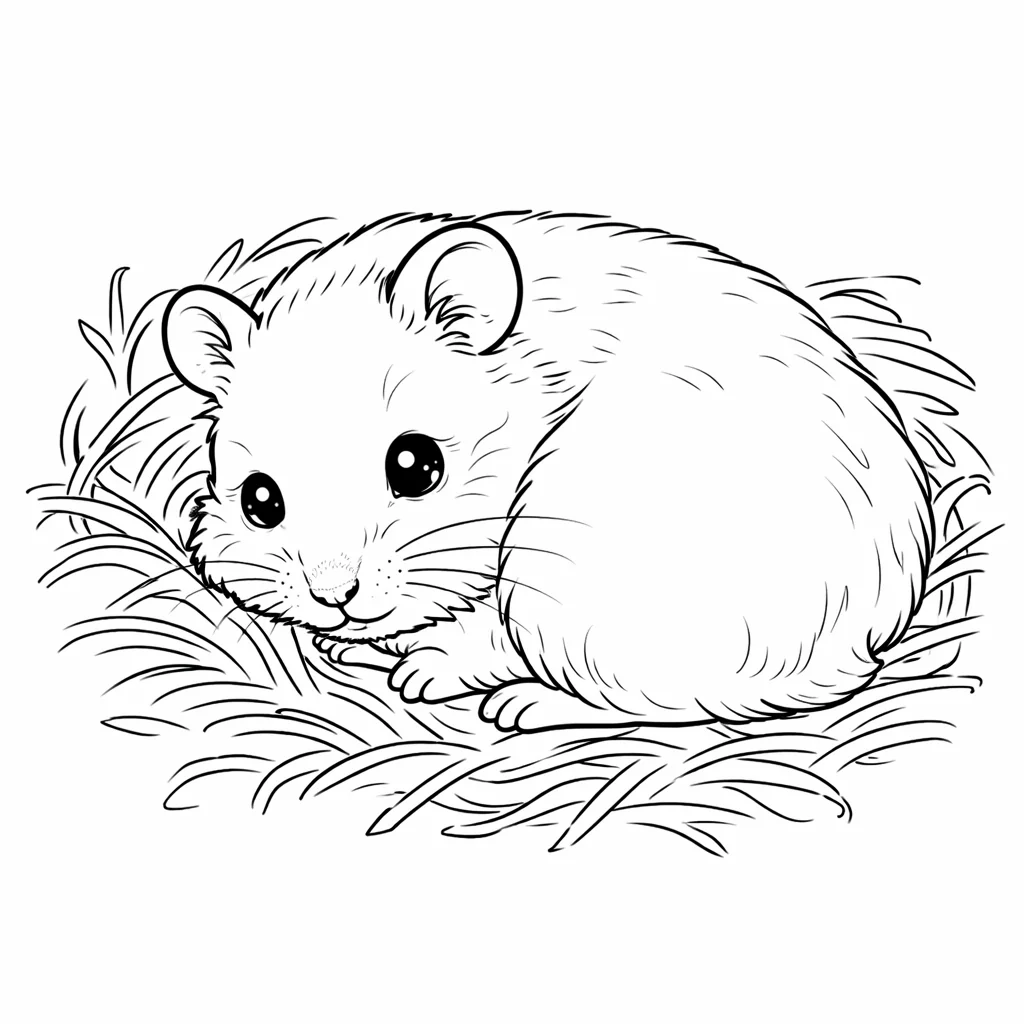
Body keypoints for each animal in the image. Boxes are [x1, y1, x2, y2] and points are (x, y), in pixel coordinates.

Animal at [162, 211, 933, 732]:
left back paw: (520, 705)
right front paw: (348, 646)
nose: (334, 597)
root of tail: (859, 645)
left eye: (416, 465)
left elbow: (471, 635)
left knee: (654, 703)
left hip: (570, 595)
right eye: (260, 500)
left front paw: (421, 670)